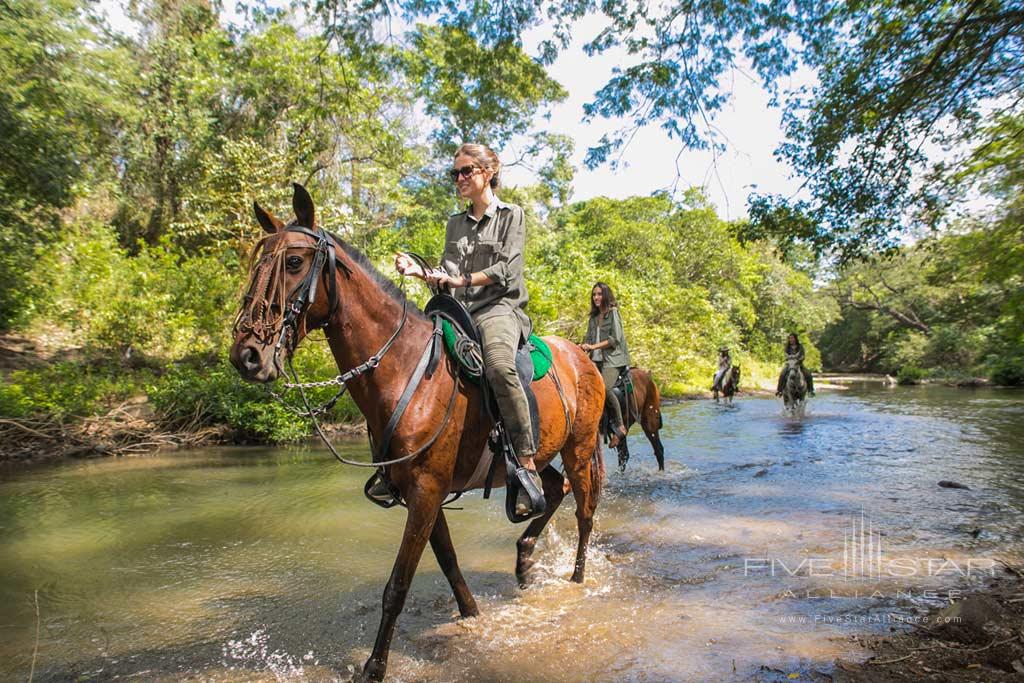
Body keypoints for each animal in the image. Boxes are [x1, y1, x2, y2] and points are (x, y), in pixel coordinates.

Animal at [228, 183, 602, 683]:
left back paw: (577, 578)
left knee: (584, 510)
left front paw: (374, 667)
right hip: (538, 457)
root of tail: (583, 357)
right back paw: (524, 561)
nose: (246, 355)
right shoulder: (419, 492)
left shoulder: (426, 490)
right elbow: (448, 561)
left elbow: (398, 584)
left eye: (293, 262)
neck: (405, 367)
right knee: (550, 489)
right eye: (256, 264)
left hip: (581, 448)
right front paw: (472, 616)